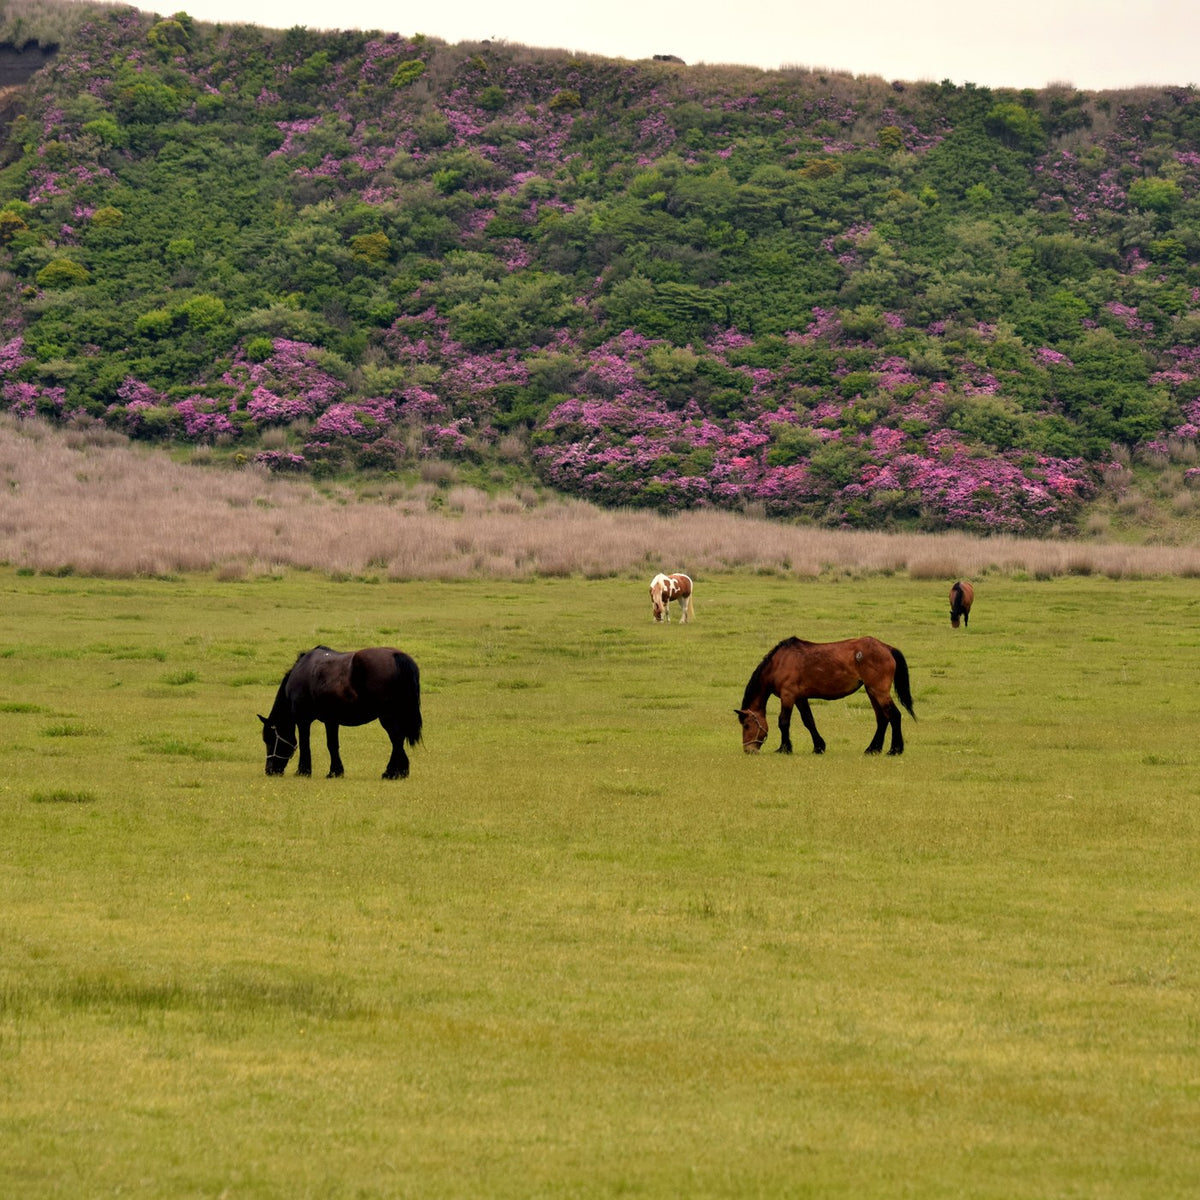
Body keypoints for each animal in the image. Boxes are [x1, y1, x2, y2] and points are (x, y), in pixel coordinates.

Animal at [259, 646, 422, 779]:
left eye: (270, 738)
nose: (269, 770)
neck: (303, 670)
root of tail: (396, 656)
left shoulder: (303, 720)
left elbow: (306, 744)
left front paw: (304, 771)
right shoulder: (331, 721)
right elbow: (332, 745)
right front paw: (335, 771)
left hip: (387, 717)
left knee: (397, 739)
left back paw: (391, 772)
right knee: (398, 740)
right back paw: (399, 771)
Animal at [735, 636, 915, 756]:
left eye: (747, 725)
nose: (748, 750)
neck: (779, 663)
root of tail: (887, 648)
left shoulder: (788, 696)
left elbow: (783, 722)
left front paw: (784, 748)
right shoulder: (800, 698)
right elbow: (809, 721)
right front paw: (818, 747)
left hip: (879, 691)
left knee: (894, 715)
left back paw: (894, 750)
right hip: (872, 691)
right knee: (883, 719)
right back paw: (872, 749)